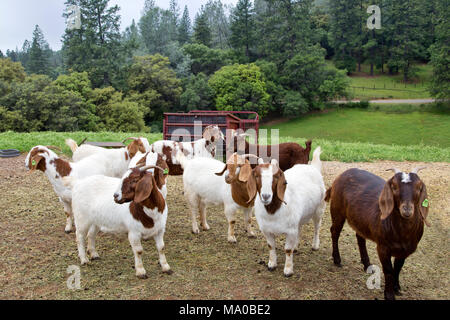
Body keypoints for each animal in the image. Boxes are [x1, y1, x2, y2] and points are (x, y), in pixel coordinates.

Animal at [241, 146, 326, 276]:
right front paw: (271, 264)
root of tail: (313, 167)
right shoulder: (267, 230)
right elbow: (271, 246)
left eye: (276, 177)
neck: (273, 211)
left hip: (319, 209)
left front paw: (288, 270)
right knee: (299, 228)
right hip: (298, 218)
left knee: (317, 227)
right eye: (257, 176)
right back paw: (296, 246)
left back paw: (315, 245)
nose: (266, 196)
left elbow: (287, 250)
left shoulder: (290, 231)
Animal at [326, 168, 430, 300]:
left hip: (360, 220)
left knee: (360, 237)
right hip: (337, 209)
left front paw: (397, 288)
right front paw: (389, 294)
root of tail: (343, 173)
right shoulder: (383, 247)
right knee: (335, 232)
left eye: (419, 186)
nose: (407, 209)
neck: (402, 234)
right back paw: (337, 259)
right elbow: (388, 270)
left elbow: (398, 268)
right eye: (394, 186)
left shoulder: (405, 251)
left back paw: (367, 264)